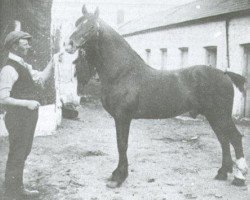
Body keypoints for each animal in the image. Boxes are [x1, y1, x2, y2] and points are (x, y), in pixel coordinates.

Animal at [65, 5, 248, 188]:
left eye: (92, 27)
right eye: (77, 23)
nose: (69, 44)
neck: (123, 72)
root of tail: (224, 73)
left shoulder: (123, 117)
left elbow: (122, 145)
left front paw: (119, 177)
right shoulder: (119, 118)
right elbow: (120, 144)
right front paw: (116, 174)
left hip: (221, 115)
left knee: (235, 138)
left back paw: (239, 178)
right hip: (213, 116)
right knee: (224, 140)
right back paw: (222, 173)